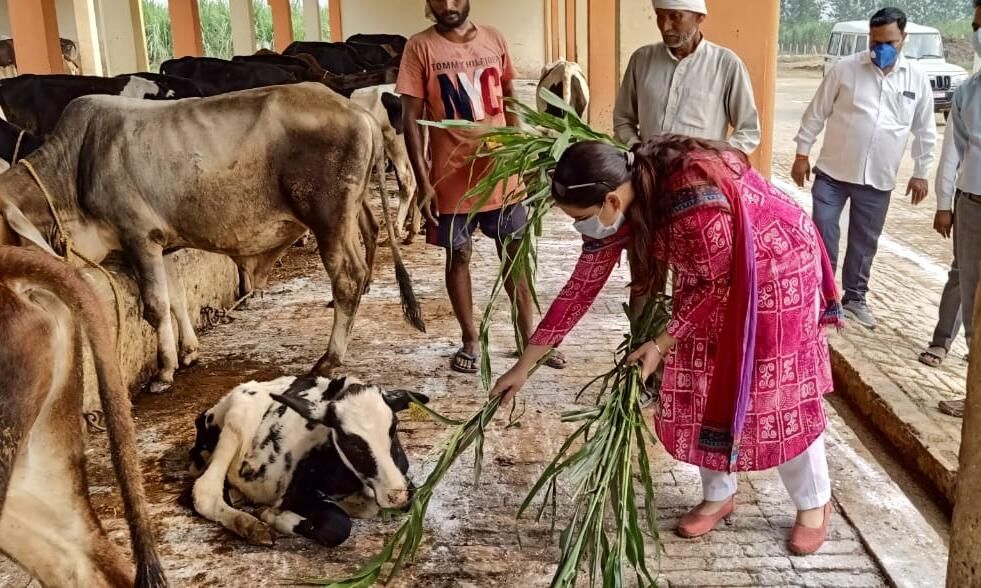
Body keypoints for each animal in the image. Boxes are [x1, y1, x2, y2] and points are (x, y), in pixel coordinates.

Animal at [0, 82, 424, 392]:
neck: (74, 167)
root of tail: (358, 112)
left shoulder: (138, 237)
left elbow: (156, 306)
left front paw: (164, 371)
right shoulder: (163, 243)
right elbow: (176, 298)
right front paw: (188, 352)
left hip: (329, 220)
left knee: (347, 278)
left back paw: (328, 358)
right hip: (346, 218)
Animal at [188, 376, 424, 548]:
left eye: (394, 428)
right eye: (351, 442)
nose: (396, 495)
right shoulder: (294, 493)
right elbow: (337, 525)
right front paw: (272, 516)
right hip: (237, 421)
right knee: (205, 492)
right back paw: (252, 527)